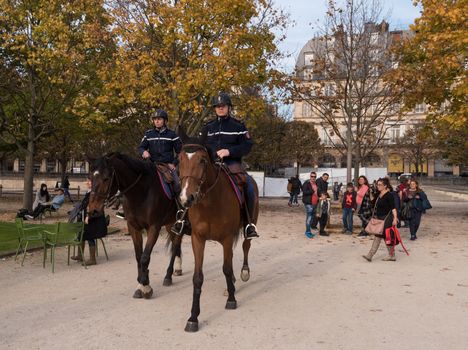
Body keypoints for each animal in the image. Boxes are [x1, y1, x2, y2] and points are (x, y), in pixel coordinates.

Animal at [88, 153, 183, 298]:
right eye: (91, 177)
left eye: (106, 178)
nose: (93, 210)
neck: (142, 192)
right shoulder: (134, 228)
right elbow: (139, 256)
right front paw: (141, 282)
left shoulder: (153, 228)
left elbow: (145, 257)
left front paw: (145, 287)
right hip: (170, 223)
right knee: (175, 245)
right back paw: (176, 269)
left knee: (177, 244)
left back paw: (168, 276)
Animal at [177, 135, 260, 332]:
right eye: (179, 160)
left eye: (202, 160)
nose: (186, 198)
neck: (210, 203)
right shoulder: (197, 239)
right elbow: (198, 277)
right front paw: (193, 317)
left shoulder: (227, 238)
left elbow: (226, 268)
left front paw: (231, 300)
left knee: (245, 246)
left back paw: (243, 274)